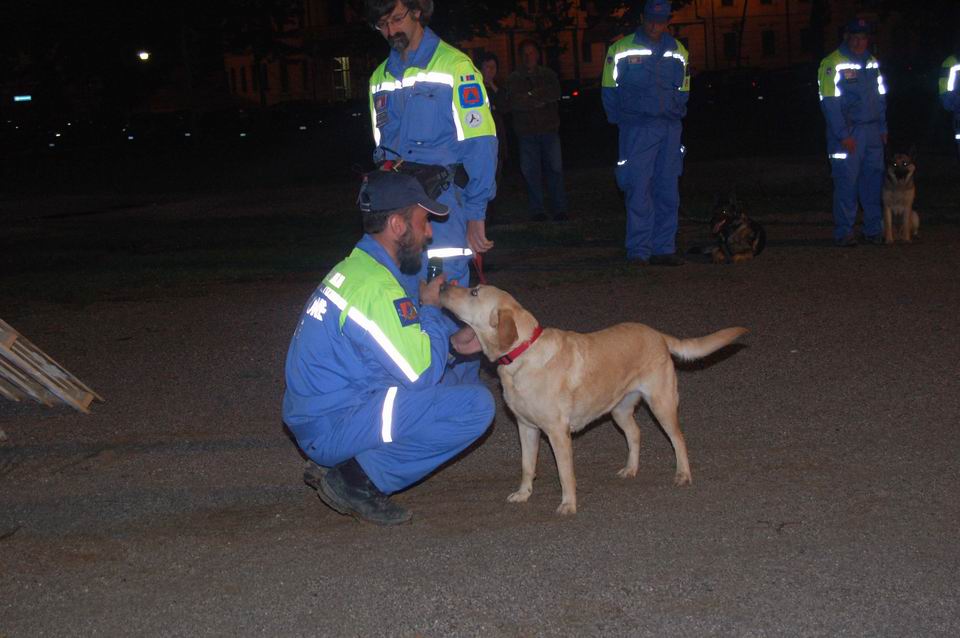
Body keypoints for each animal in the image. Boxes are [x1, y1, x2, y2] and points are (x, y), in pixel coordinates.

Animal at [440, 284, 748, 515]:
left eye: (474, 292)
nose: (442, 285)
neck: (523, 354)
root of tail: (657, 334)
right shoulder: (526, 428)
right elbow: (527, 466)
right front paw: (523, 493)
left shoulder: (558, 433)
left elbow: (565, 473)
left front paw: (568, 504)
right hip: (620, 410)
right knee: (635, 434)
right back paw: (631, 469)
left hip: (662, 405)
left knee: (679, 439)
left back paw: (683, 474)